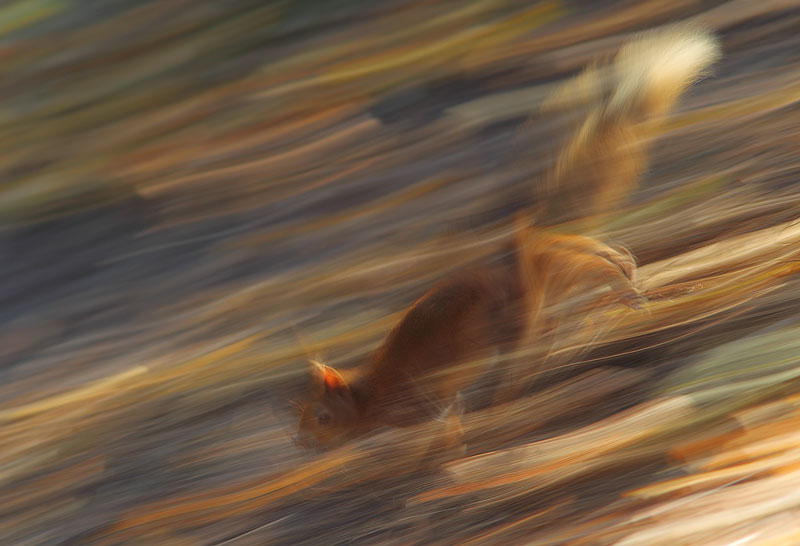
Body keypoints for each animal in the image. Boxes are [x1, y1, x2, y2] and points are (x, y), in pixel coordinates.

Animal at [293, 25, 721, 451]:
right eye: (298, 413)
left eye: (322, 416)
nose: (301, 441)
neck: (372, 391)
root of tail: (514, 244)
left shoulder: (423, 396)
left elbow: (445, 416)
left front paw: (445, 443)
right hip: (547, 282)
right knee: (587, 257)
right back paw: (619, 278)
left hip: (515, 316)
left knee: (577, 286)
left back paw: (613, 300)